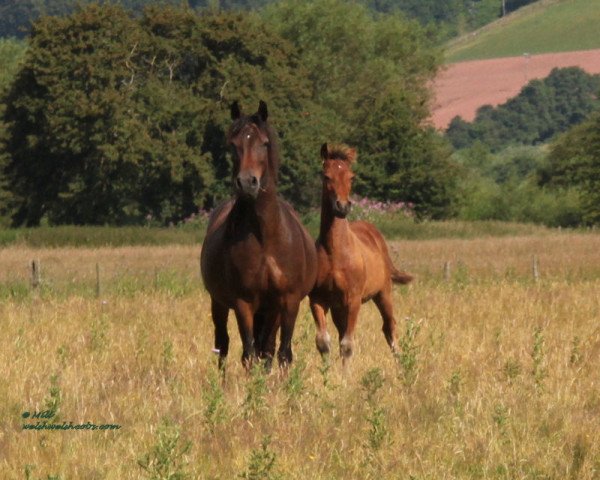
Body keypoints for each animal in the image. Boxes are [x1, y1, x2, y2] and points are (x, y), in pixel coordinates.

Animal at [199, 101, 318, 370]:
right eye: (233, 145)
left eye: (264, 143)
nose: (247, 183)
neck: (266, 237)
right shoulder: (243, 303)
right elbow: (249, 354)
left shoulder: (288, 301)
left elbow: (282, 353)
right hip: (220, 304)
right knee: (223, 345)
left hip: (270, 311)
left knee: (268, 348)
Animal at [310, 144, 412, 362]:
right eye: (326, 176)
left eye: (351, 177)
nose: (342, 206)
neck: (335, 252)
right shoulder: (318, 299)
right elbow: (324, 342)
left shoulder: (353, 300)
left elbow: (347, 345)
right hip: (339, 307)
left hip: (383, 294)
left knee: (389, 327)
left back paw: (401, 362)